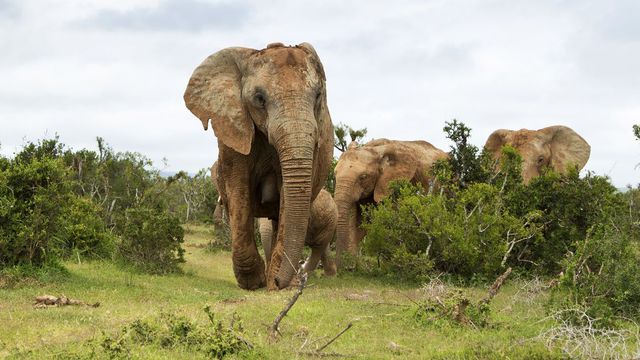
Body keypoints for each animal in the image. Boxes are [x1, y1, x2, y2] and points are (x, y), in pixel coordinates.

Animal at [184, 43, 336, 290]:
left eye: (318, 96)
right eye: (259, 98)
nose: (279, 281)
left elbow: (287, 198)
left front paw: (275, 282)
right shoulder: (234, 126)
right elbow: (238, 189)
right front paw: (253, 281)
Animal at [332, 138, 448, 268]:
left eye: (363, 177)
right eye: (335, 174)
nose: (341, 267)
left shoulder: (397, 183)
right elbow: (358, 222)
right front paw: (352, 267)